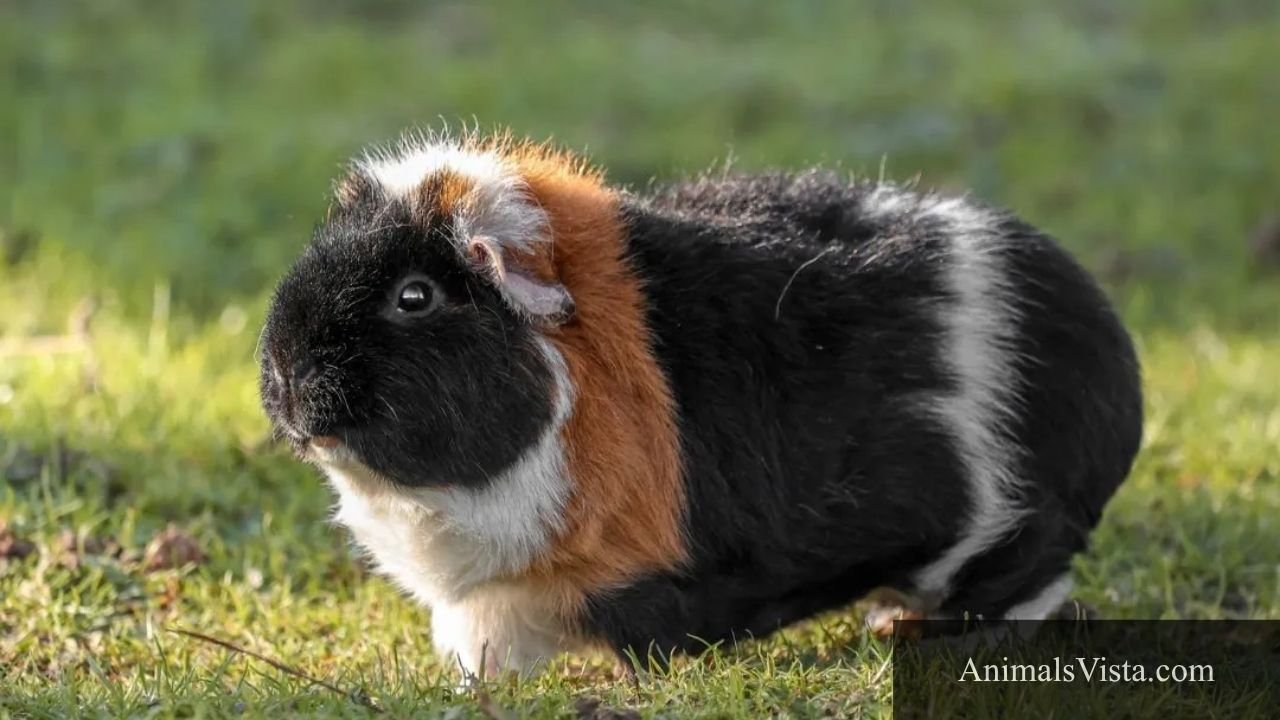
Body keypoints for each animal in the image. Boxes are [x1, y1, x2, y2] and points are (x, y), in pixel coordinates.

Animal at [259, 129, 1142, 678]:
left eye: (415, 296)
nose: (286, 376)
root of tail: (1115, 380)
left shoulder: (633, 579)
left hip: (1012, 535)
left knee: (1024, 586)